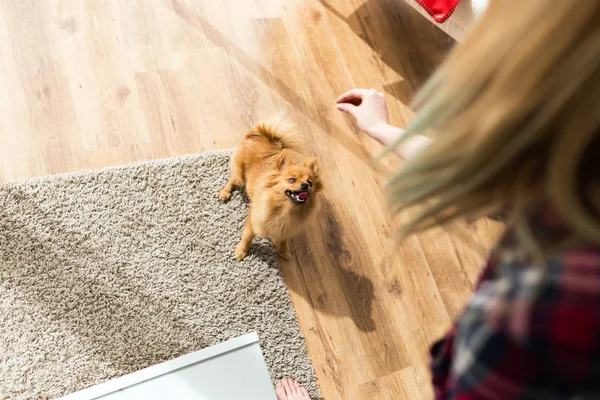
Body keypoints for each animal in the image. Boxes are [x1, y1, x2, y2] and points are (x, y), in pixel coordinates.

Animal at [219, 115, 324, 260]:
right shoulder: (254, 220)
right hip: (240, 176)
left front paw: (283, 252)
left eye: (310, 183)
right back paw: (225, 192)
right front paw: (241, 251)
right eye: (292, 179)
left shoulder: (286, 229)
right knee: (232, 179)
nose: (305, 185)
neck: (286, 209)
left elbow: (283, 240)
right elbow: (247, 237)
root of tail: (262, 135)